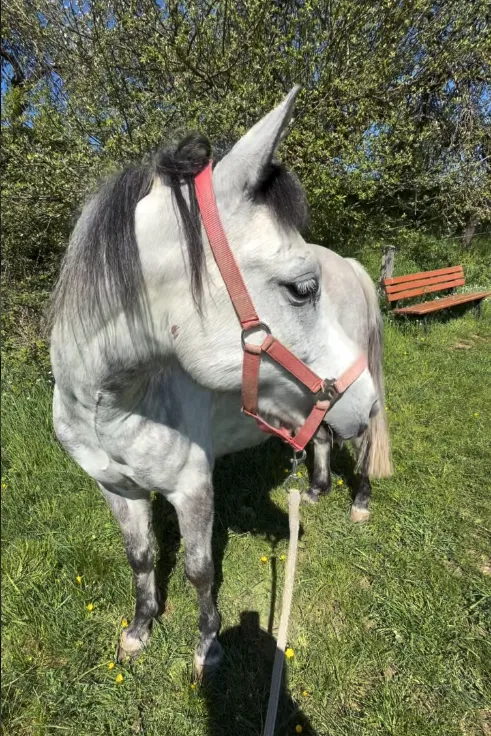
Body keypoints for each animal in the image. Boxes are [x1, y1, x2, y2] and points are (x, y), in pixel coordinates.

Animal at [49, 87, 380, 672]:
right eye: (301, 288)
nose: (361, 398)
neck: (108, 406)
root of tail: (349, 263)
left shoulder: (193, 487)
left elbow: (199, 570)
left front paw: (208, 646)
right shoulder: (115, 488)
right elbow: (140, 558)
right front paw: (140, 629)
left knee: (362, 447)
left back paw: (358, 500)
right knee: (321, 438)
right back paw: (316, 491)